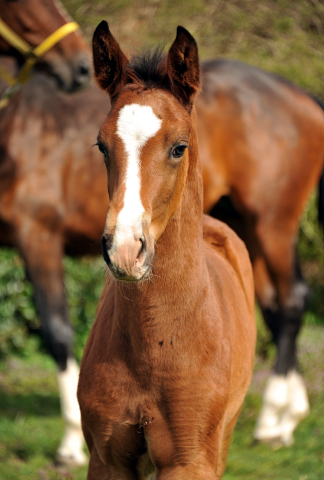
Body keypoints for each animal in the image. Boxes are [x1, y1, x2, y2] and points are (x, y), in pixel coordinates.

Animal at [78, 22, 256, 480]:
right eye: (101, 146)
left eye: (179, 147)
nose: (126, 250)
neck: (156, 345)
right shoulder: (107, 459)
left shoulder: (189, 461)